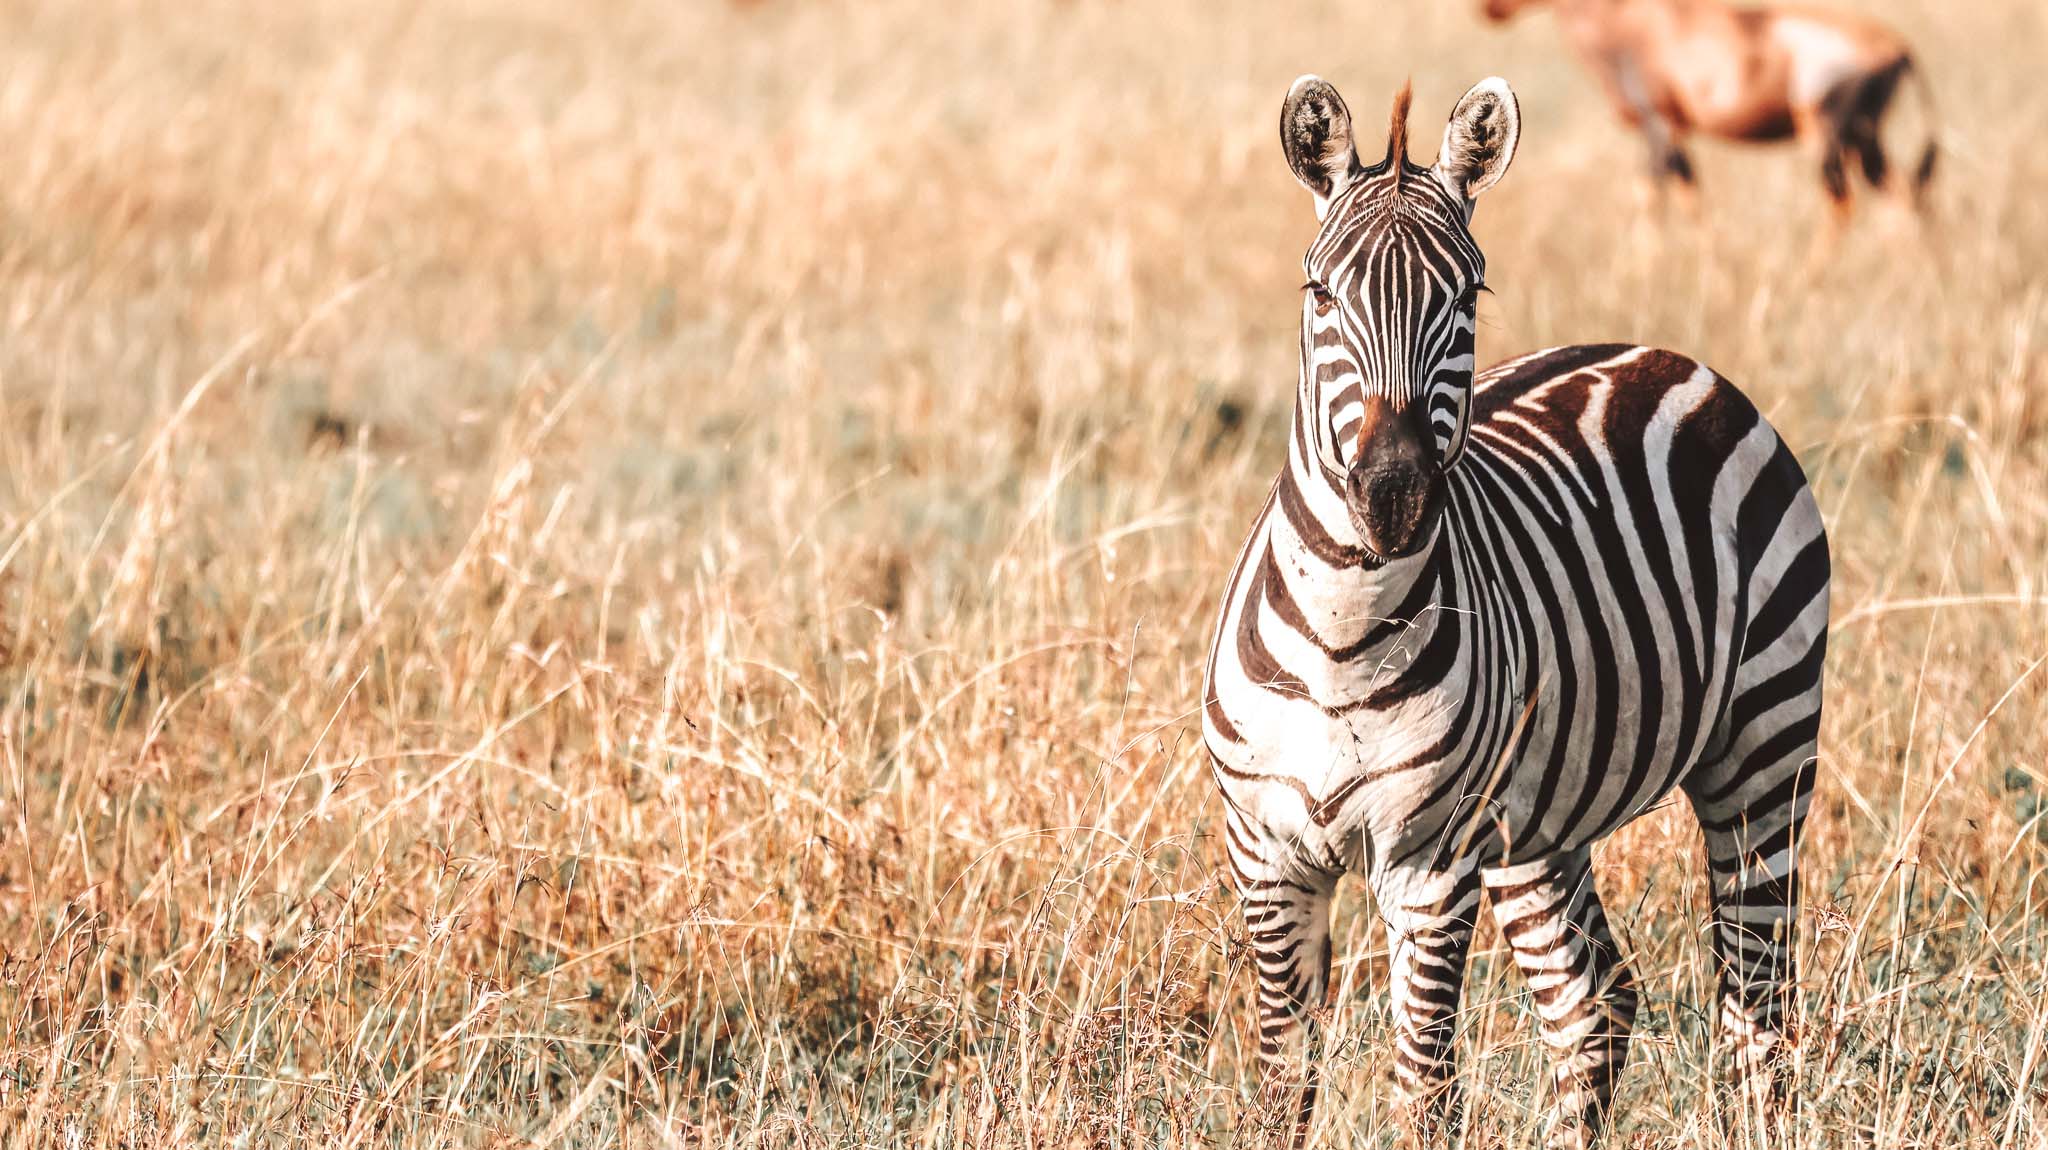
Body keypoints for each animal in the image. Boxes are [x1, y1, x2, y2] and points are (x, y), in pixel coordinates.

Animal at [1202, 74, 1829, 1147]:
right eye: (1319, 294)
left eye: (1466, 298)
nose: (1394, 496)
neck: (1343, 637)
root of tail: (1659, 356)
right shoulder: (1268, 858)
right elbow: (1285, 1085)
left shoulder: (1430, 868)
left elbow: (1425, 1091)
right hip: (1540, 819)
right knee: (1595, 1003)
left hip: (1763, 751)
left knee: (1757, 1013)